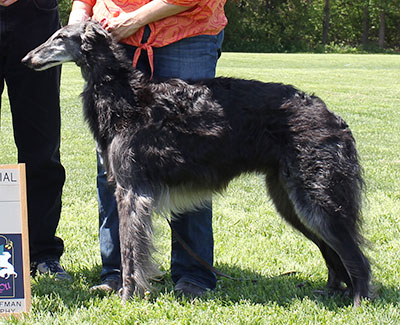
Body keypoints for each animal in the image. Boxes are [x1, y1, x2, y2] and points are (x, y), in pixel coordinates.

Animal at [21, 20, 372, 306]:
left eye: (60, 36)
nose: (26, 60)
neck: (126, 96)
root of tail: (333, 117)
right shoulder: (127, 189)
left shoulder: (133, 191)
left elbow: (131, 251)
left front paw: (128, 297)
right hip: (291, 201)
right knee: (333, 253)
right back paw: (331, 293)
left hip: (317, 199)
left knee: (356, 256)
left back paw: (359, 302)